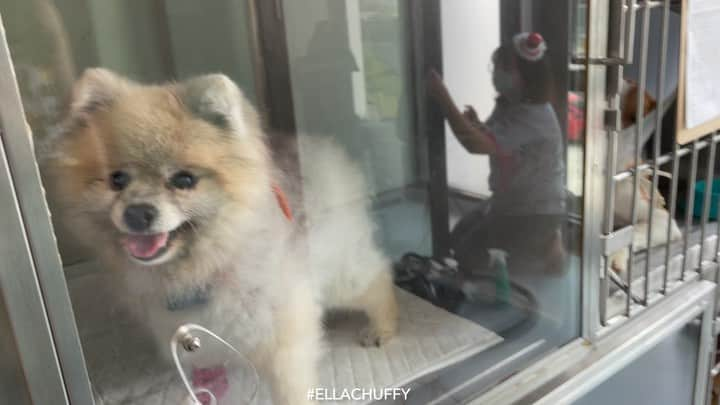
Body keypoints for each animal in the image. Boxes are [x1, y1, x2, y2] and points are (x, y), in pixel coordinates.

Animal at [44, 68, 396, 402]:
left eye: (184, 180)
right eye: (117, 179)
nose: (138, 212)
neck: (203, 265)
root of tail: (327, 152)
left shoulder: (283, 334)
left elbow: (290, 386)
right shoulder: (186, 331)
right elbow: (203, 366)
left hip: (339, 269)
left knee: (376, 277)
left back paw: (382, 326)